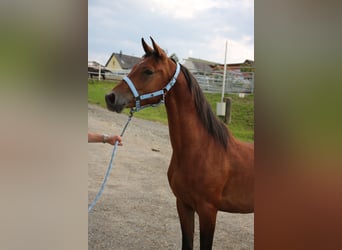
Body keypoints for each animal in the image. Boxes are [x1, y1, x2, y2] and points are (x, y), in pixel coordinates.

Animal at [105, 37, 254, 250]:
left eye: (148, 71)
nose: (110, 97)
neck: (202, 150)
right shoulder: (183, 205)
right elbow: (186, 243)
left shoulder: (208, 212)